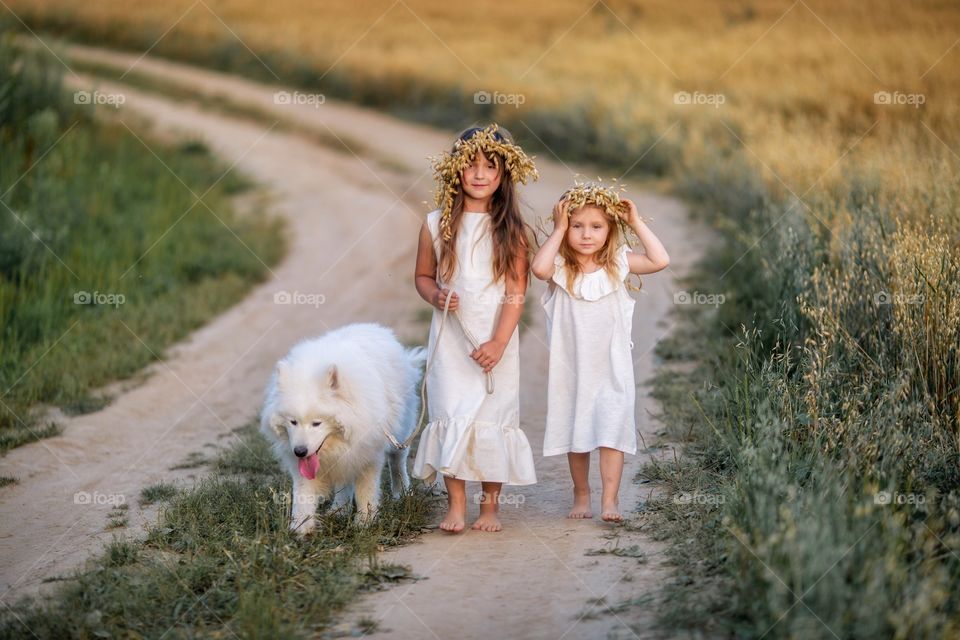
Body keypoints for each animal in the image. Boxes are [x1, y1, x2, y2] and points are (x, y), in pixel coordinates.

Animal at [262, 324, 428, 536]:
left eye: (317, 423)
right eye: (293, 422)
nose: (299, 451)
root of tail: (374, 328)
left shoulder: (368, 452)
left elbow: (366, 491)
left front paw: (365, 522)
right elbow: (303, 494)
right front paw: (300, 528)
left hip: (399, 434)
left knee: (397, 462)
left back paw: (402, 493)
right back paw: (339, 510)